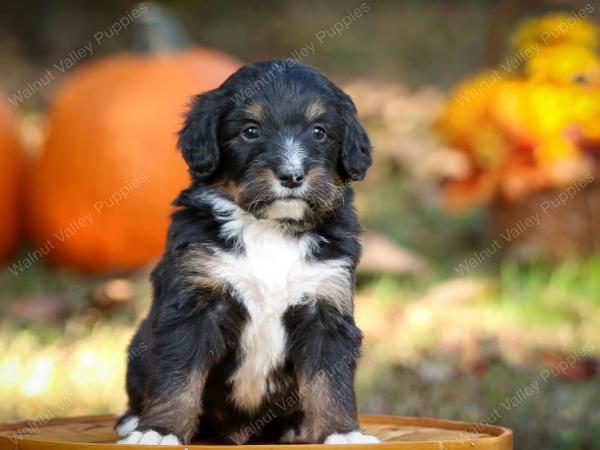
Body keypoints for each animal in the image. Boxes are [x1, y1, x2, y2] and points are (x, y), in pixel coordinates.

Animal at [116, 60, 376, 446]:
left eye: (319, 132)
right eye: (251, 131)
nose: (292, 176)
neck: (271, 228)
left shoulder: (324, 308)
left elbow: (332, 385)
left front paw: (342, 433)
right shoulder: (195, 308)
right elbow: (176, 379)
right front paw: (159, 431)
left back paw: (297, 425)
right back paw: (133, 421)